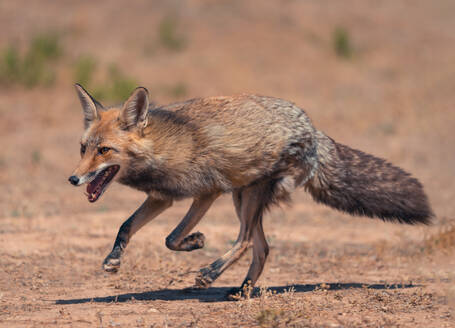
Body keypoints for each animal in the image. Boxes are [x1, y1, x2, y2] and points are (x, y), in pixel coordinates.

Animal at [68, 84, 434, 300]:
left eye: (104, 150)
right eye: (84, 148)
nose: (73, 179)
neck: (164, 147)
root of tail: (313, 128)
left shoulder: (207, 191)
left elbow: (171, 238)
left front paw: (196, 243)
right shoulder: (163, 196)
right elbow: (127, 226)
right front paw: (113, 260)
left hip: (247, 196)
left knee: (245, 240)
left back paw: (212, 274)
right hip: (242, 196)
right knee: (263, 247)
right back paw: (243, 290)